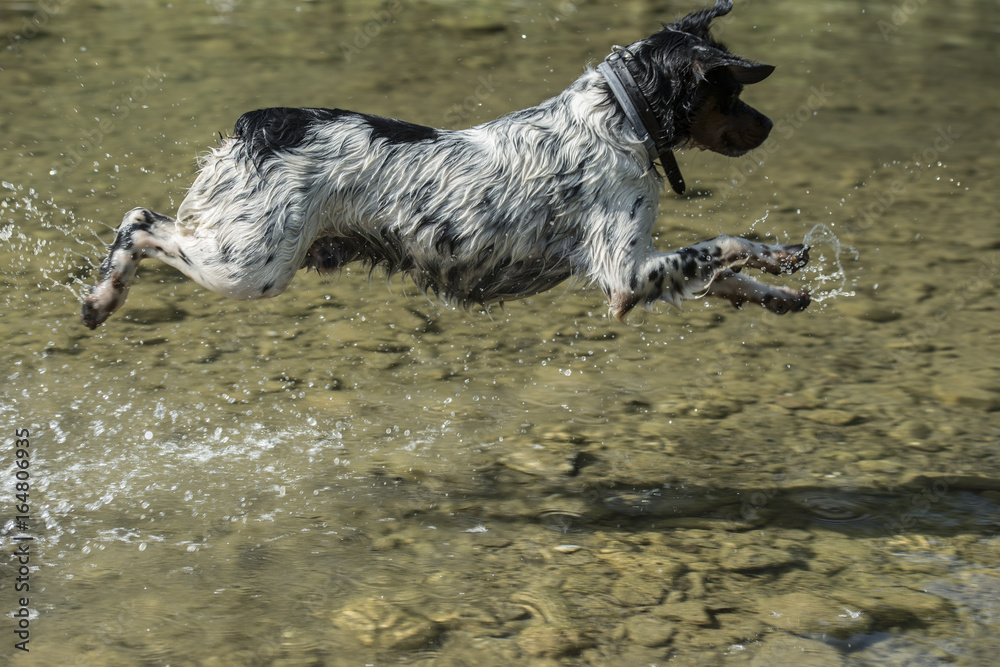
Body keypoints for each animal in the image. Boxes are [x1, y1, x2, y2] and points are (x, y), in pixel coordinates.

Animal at [82, 0, 808, 332]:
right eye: (733, 92)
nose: (772, 125)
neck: (619, 116)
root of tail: (259, 123)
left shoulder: (644, 269)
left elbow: (723, 276)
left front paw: (781, 292)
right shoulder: (624, 275)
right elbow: (727, 244)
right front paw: (778, 254)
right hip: (248, 264)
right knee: (139, 222)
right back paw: (101, 298)